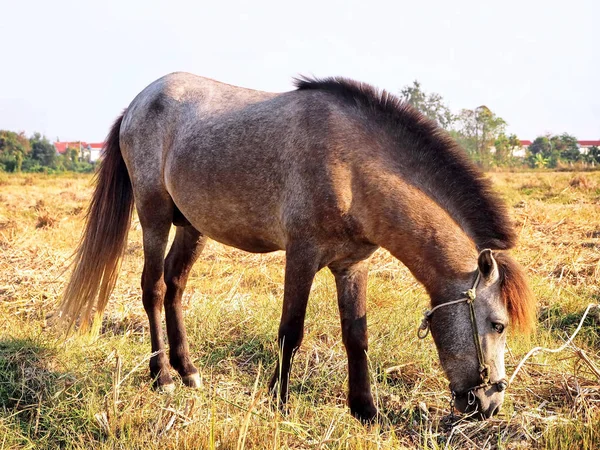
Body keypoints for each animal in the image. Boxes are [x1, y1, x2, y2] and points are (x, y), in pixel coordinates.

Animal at [58, 73, 536, 422]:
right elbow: (291, 331)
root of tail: (139, 102)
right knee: (154, 289)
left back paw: (187, 369)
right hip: (154, 217)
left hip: (192, 227)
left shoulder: (352, 266)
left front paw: (365, 410)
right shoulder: (301, 256)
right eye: (498, 325)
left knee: (175, 286)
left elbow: (356, 335)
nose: (490, 405)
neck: (351, 168)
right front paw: (279, 401)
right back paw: (162, 376)